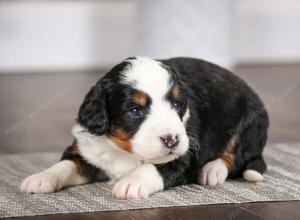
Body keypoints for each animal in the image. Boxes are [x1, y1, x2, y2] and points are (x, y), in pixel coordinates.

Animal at [21, 57, 270, 199]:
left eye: (177, 105)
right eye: (135, 111)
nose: (171, 140)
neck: (124, 151)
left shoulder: (184, 156)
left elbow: (153, 168)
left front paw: (131, 182)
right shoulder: (88, 149)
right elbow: (66, 165)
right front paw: (41, 178)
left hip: (249, 125)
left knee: (237, 156)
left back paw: (213, 170)